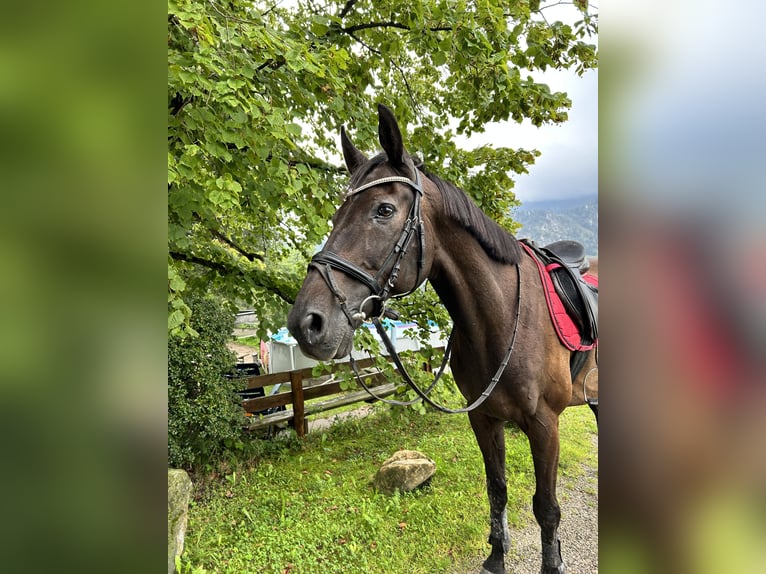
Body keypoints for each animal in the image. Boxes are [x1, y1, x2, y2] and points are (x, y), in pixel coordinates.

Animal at [288, 104, 600, 574]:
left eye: (383, 210)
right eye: (337, 215)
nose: (307, 322)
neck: (500, 318)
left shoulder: (546, 425)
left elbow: (546, 508)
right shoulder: (484, 419)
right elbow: (497, 490)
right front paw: (496, 557)